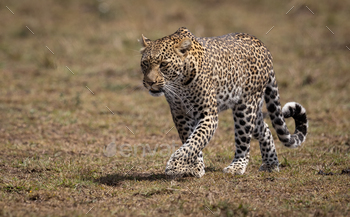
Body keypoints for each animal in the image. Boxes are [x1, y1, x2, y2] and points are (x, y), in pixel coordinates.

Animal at [138, 27, 308, 178]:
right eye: (145, 63)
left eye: (163, 64)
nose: (150, 82)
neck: (179, 84)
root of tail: (263, 45)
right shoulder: (180, 114)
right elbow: (189, 139)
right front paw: (195, 167)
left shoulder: (208, 115)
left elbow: (195, 141)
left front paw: (175, 165)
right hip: (252, 109)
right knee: (264, 128)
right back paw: (270, 164)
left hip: (245, 107)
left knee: (243, 141)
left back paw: (237, 167)